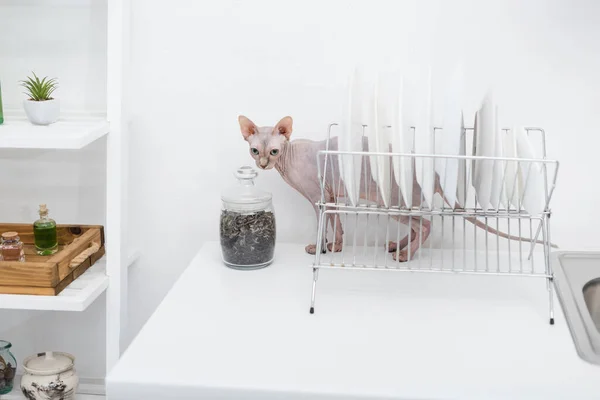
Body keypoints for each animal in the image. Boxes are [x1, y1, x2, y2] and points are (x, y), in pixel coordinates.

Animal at [238, 114, 552, 260]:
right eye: (254, 150)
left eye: (274, 151)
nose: (263, 164)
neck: (288, 159)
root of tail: (432, 173)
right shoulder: (332, 197)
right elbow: (338, 225)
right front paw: (337, 246)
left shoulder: (319, 198)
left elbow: (322, 225)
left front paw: (320, 248)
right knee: (418, 225)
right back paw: (397, 245)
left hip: (392, 202)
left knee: (426, 225)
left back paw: (405, 255)